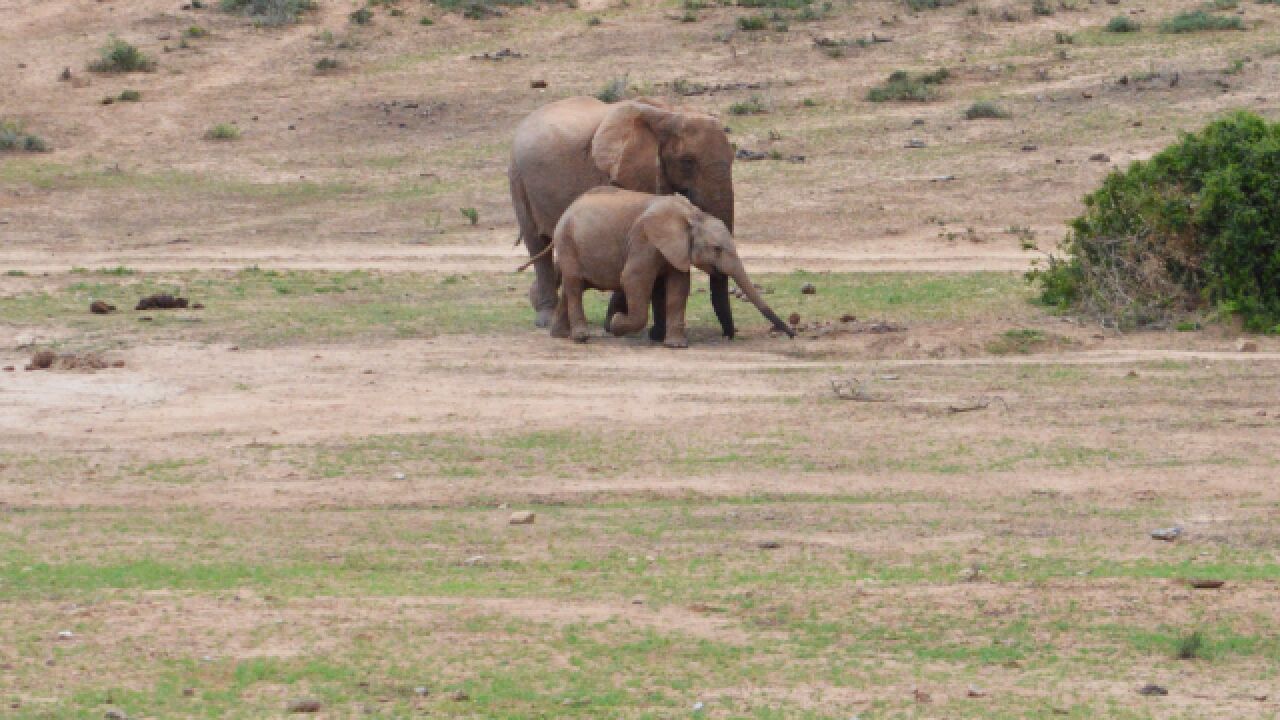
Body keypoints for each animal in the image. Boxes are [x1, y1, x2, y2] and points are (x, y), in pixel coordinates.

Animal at [504, 95, 737, 338]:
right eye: (687, 161)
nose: (728, 335)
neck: (668, 113)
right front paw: (618, 323)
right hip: (517, 177)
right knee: (537, 243)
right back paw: (546, 318)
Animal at [550, 184, 788, 345]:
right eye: (716, 249)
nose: (791, 334)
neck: (693, 215)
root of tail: (567, 209)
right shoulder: (644, 240)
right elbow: (633, 278)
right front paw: (617, 324)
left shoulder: (676, 249)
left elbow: (679, 288)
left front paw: (676, 345)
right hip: (567, 242)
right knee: (574, 285)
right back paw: (581, 337)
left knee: (573, 287)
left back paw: (560, 335)